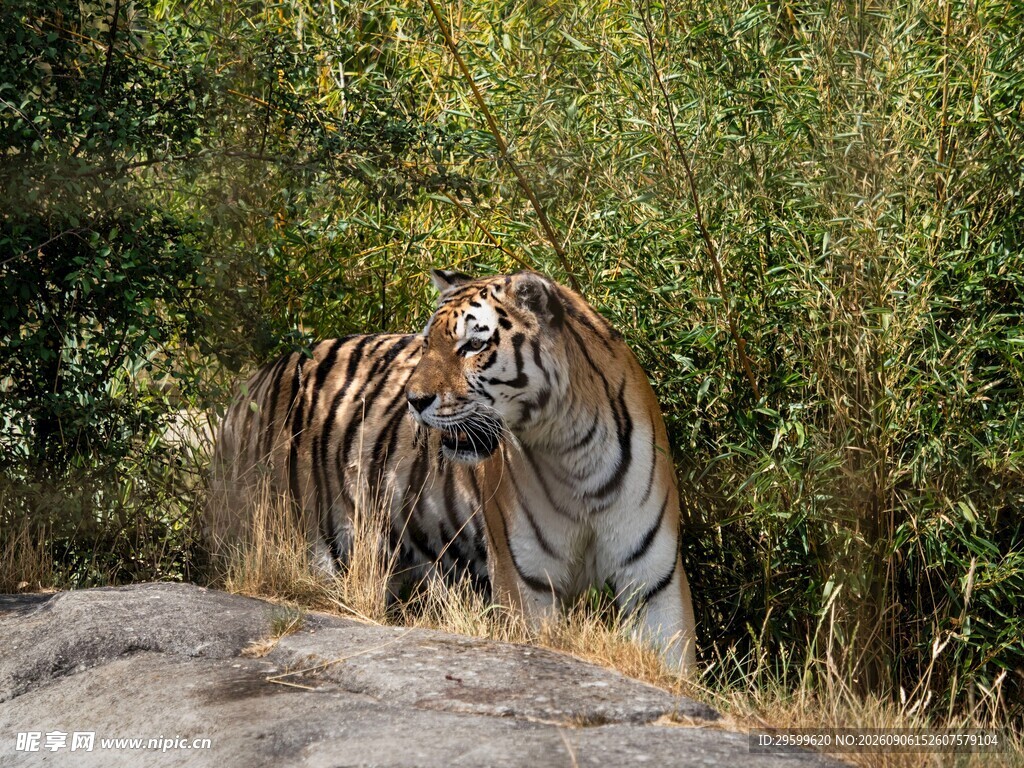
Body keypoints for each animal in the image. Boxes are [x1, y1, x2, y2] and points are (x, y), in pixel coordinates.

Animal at [208, 269, 697, 671]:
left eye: (473, 345)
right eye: (427, 344)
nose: (414, 400)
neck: (571, 449)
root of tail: (249, 385)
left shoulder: (654, 580)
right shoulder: (526, 582)